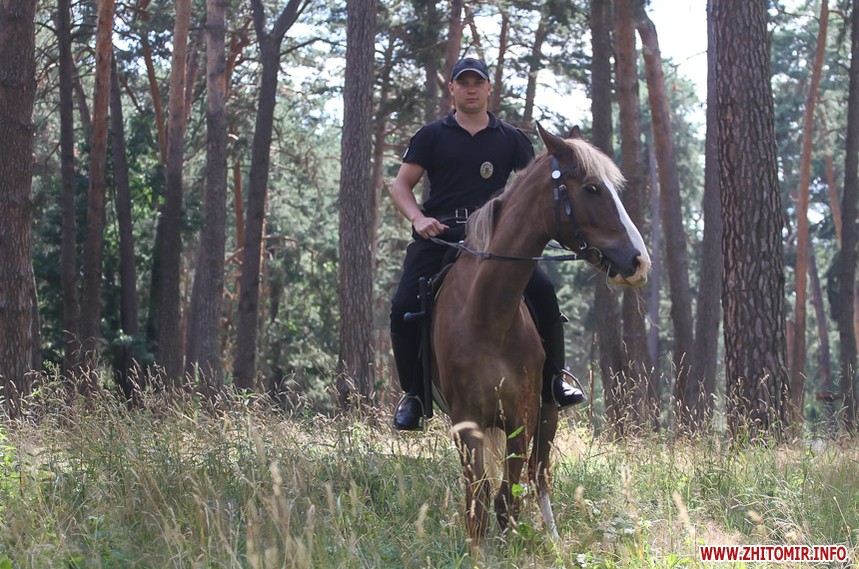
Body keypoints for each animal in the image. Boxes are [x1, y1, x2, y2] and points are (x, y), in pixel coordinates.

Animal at [429, 124, 651, 545]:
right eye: (592, 188)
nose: (639, 261)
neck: (487, 316)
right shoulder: (465, 422)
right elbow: (477, 503)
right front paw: (479, 550)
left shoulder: (523, 415)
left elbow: (507, 499)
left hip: (548, 414)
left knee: (540, 474)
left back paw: (552, 536)